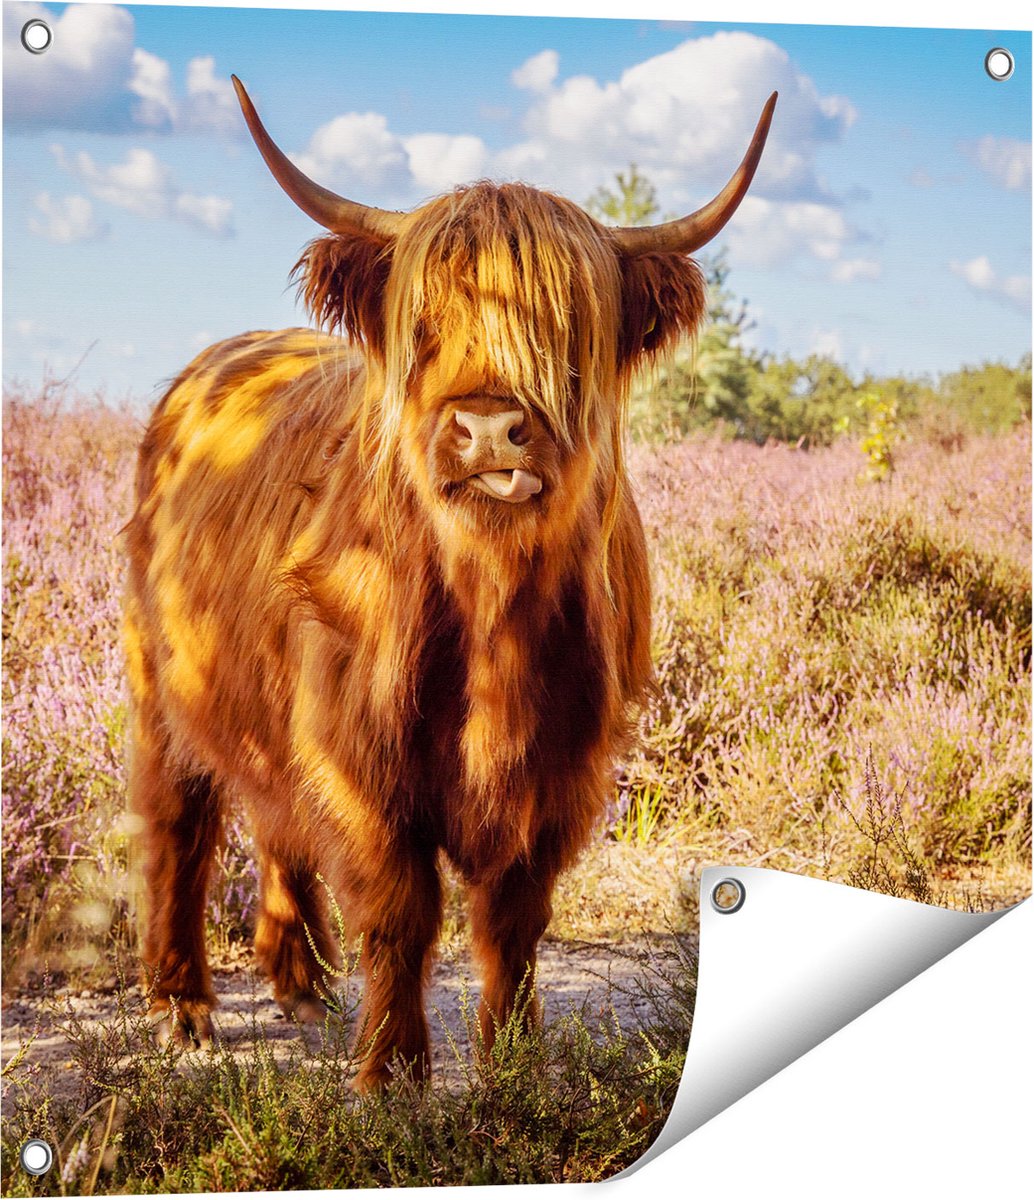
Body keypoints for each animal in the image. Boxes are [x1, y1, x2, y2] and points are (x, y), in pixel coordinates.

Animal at [124, 76, 775, 1089]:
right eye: (424, 325)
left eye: (564, 328)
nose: (489, 430)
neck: (491, 614)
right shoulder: (360, 757)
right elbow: (401, 910)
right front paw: (392, 1073)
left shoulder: (564, 764)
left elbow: (513, 916)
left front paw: (512, 1060)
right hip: (162, 684)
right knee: (178, 824)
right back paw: (181, 1006)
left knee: (276, 819)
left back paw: (303, 985)